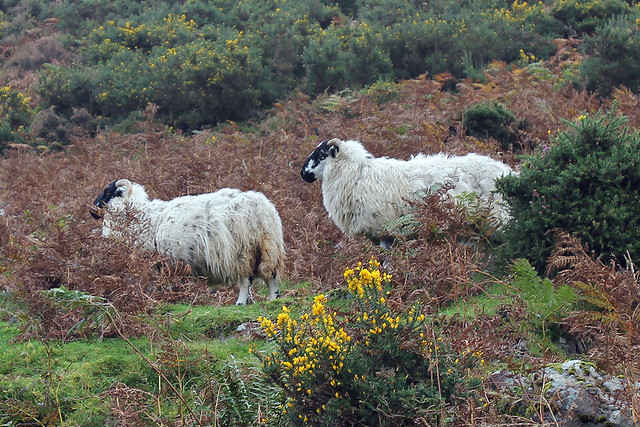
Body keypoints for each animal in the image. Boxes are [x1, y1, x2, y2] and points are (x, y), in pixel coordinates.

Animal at [90, 179, 285, 305]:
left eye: (108, 191)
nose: (92, 211)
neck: (136, 215)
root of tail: (261, 208)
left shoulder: (147, 263)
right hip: (267, 248)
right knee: (271, 276)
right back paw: (273, 299)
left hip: (241, 252)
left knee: (246, 280)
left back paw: (241, 302)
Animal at [300, 138, 514, 248]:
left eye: (321, 155)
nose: (303, 173)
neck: (356, 174)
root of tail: (507, 170)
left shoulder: (384, 228)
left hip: (497, 214)